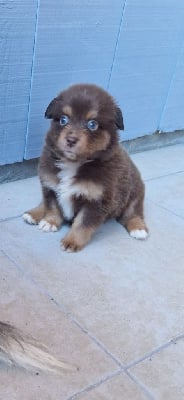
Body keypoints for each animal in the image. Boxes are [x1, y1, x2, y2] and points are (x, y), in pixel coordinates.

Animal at [23, 83, 148, 252]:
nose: (70, 140)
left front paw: (71, 241)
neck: (74, 163)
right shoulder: (50, 186)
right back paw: (34, 213)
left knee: (133, 213)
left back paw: (138, 228)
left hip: (135, 194)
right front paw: (50, 222)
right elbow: (52, 207)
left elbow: (83, 223)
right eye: (63, 119)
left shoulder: (97, 200)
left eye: (92, 124)